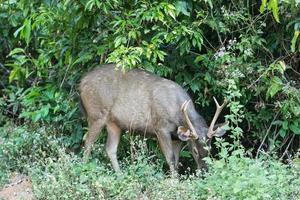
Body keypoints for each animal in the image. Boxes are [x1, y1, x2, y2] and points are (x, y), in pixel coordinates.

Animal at [79, 64, 227, 172]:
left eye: (210, 149)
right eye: (195, 151)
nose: (205, 170)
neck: (177, 112)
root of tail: (81, 83)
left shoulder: (177, 137)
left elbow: (177, 160)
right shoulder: (160, 128)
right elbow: (170, 158)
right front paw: (174, 182)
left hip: (113, 123)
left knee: (110, 148)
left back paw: (120, 175)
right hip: (96, 115)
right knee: (87, 143)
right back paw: (84, 169)